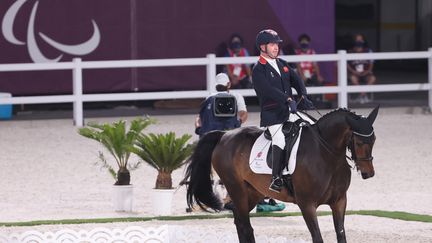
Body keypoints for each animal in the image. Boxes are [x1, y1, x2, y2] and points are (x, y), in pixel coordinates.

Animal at [184, 107, 380, 243]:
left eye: (374, 140)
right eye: (359, 142)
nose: (368, 173)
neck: (328, 154)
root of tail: (224, 135)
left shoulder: (339, 201)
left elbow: (341, 236)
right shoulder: (307, 205)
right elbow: (317, 238)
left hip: (253, 192)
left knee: (240, 222)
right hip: (236, 189)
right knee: (245, 225)